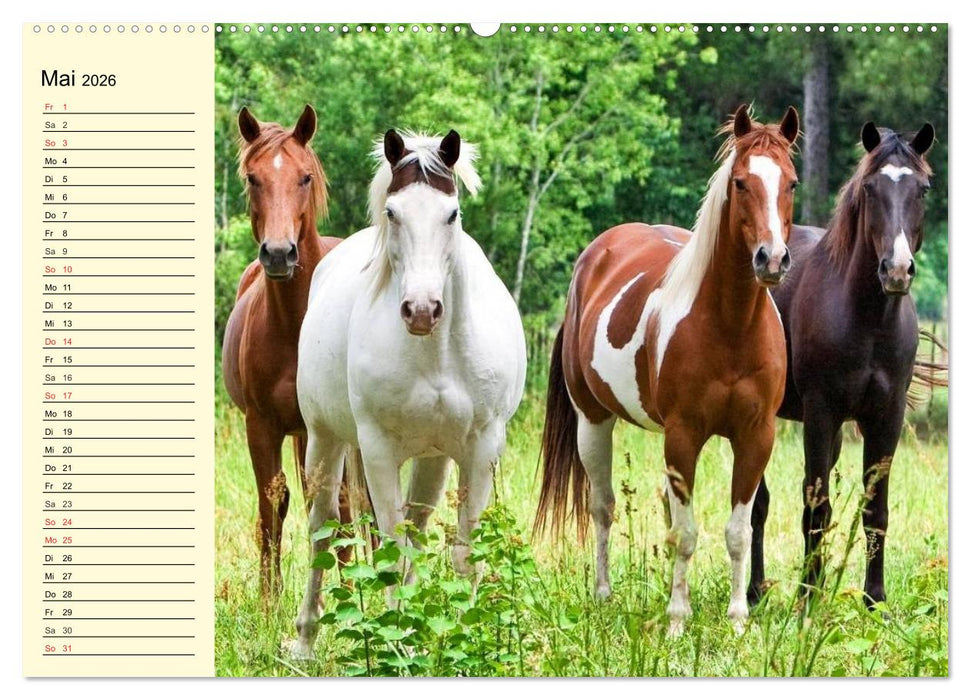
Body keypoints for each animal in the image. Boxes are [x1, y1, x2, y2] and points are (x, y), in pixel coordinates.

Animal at [221, 104, 346, 596]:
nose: (278, 254)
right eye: (253, 178)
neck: (295, 325)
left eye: (305, 177)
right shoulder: (261, 426)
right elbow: (272, 506)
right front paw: (269, 601)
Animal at [289, 129, 527, 658]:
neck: (436, 355)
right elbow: (391, 550)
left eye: (451, 213)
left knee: (413, 532)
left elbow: (462, 552)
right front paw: (398, 642)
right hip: (325, 440)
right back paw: (305, 640)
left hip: (433, 459)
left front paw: (462, 637)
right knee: (321, 529)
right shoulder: (377, 450)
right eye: (393, 212)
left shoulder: (481, 448)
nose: (421, 310)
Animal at [535, 105, 800, 635]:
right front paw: (678, 620)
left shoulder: (756, 436)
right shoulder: (683, 436)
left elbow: (737, 531)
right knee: (603, 507)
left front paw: (738, 619)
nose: (772, 259)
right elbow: (687, 532)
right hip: (592, 421)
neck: (731, 326)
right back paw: (603, 594)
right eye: (741, 182)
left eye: (792, 182)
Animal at [747, 121, 937, 609]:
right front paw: (807, 600)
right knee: (758, 502)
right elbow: (816, 507)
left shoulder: (886, 418)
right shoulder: (821, 412)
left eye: (922, 189)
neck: (867, 319)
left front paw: (875, 600)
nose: (896, 270)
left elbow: (875, 510)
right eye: (870, 188)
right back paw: (755, 591)